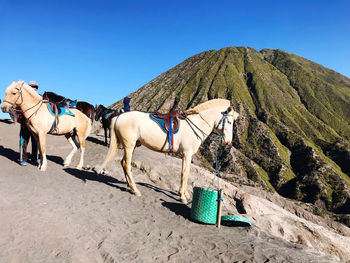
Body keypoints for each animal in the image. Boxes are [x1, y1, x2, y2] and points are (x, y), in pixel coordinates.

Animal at [98, 99, 241, 204]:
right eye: (229, 122)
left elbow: (185, 174)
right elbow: (185, 174)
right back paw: (135, 190)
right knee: (127, 165)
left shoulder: (185, 155)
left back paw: (129, 186)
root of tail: (119, 117)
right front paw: (182, 197)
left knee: (123, 163)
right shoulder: (187, 154)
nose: (228, 142)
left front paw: (185, 194)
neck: (196, 124)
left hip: (131, 147)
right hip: (129, 145)